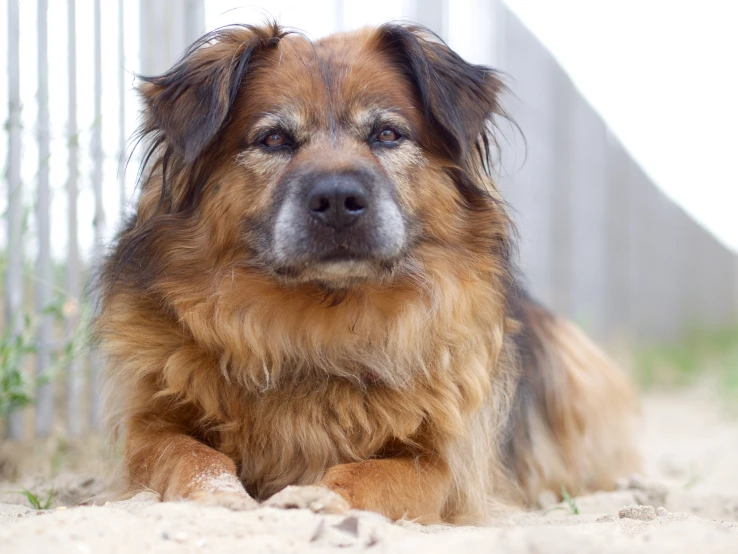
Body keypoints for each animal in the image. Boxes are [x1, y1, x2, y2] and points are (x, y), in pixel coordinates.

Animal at [96, 21, 640, 520]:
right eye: (274, 139)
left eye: (386, 134)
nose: (338, 199)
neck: (319, 324)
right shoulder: (149, 425)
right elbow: (187, 455)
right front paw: (219, 495)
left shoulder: (442, 464)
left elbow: (372, 472)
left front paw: (313, 497)